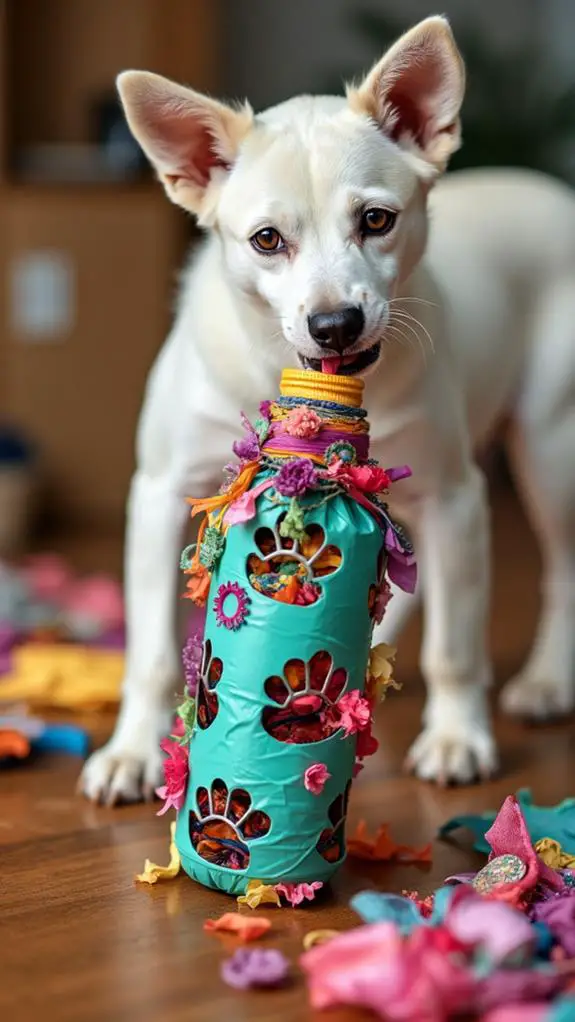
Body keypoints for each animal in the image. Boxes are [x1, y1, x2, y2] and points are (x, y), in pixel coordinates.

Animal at [79, 12, 575, 801]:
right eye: (265, 240)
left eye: (376, 220)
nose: (335, 324)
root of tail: (546, 188)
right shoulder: (158, 494)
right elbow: (151, 655)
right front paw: (131, 751)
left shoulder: (457, 497)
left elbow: (455, 647)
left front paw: (457, 736)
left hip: (549, 448)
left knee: (560, 572)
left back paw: (547, 678)